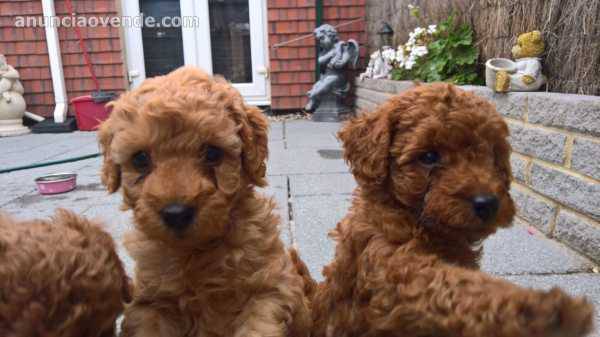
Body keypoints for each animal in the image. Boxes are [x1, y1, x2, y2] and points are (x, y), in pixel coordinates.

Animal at [99, 66, 312, 336]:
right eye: (140, 159)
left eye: (212, 153)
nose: (176, 213)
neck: (196, 252)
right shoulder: (149, 303)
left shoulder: (270, 288)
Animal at [310, 83, 596, 336]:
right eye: (428, 157)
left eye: (492, 154)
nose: (487, 203)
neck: (418, 222)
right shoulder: (388, 264)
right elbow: (447, 284)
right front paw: (536, 308)